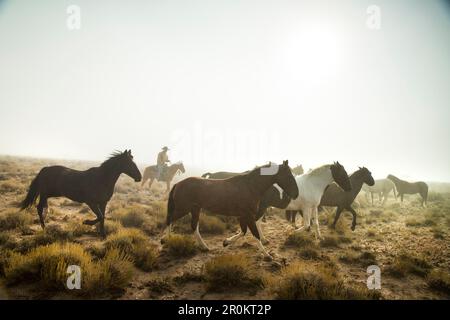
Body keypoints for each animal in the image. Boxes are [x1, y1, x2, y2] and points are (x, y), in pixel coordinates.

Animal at [163, 160, 298, 258]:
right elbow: (254, 234)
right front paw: (267, 255)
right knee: (169, 220)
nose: (295, 194)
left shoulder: (243, 216)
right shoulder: (248, 216)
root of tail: (178, 184)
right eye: (288, 175)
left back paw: (204, 247)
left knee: (193, 226)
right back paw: (166, 240)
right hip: (183, 209)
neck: (250, 186)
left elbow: (243, 231)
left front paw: (226, 242)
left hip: (195, 209)